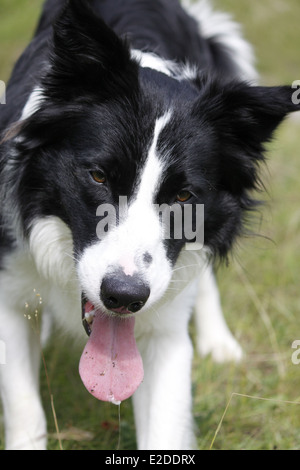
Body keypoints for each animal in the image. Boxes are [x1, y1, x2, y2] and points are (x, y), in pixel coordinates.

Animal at [0, 0, 298, 450]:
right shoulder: (10, 293)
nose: (124, 297)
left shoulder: (167, 327)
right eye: (98, 177)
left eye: (184, 197)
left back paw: (220, 342)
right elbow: (24, 409)